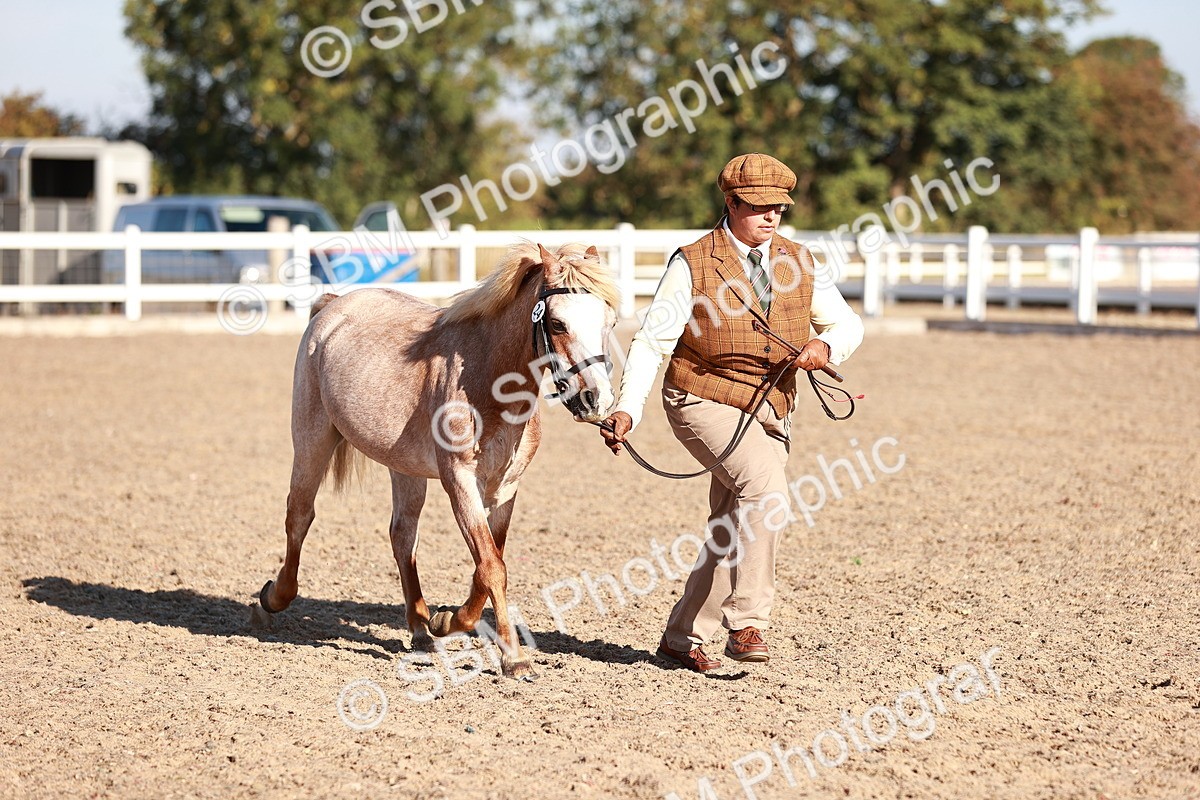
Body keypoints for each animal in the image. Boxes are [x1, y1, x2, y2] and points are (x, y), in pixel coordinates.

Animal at [251, 242, 619, 678]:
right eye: (559, 324)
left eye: (610, 322)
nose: (596, 400)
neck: (486, 378)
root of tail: (332, 306)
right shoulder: (459, 480)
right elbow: (491, 566)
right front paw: (514, 658)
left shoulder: (505, 489)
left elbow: (488, 564)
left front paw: (447, 621)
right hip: (312, 441)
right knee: (299, 516)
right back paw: (274, 597)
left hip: (403, 468)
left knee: (402, 537)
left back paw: (421, 630)